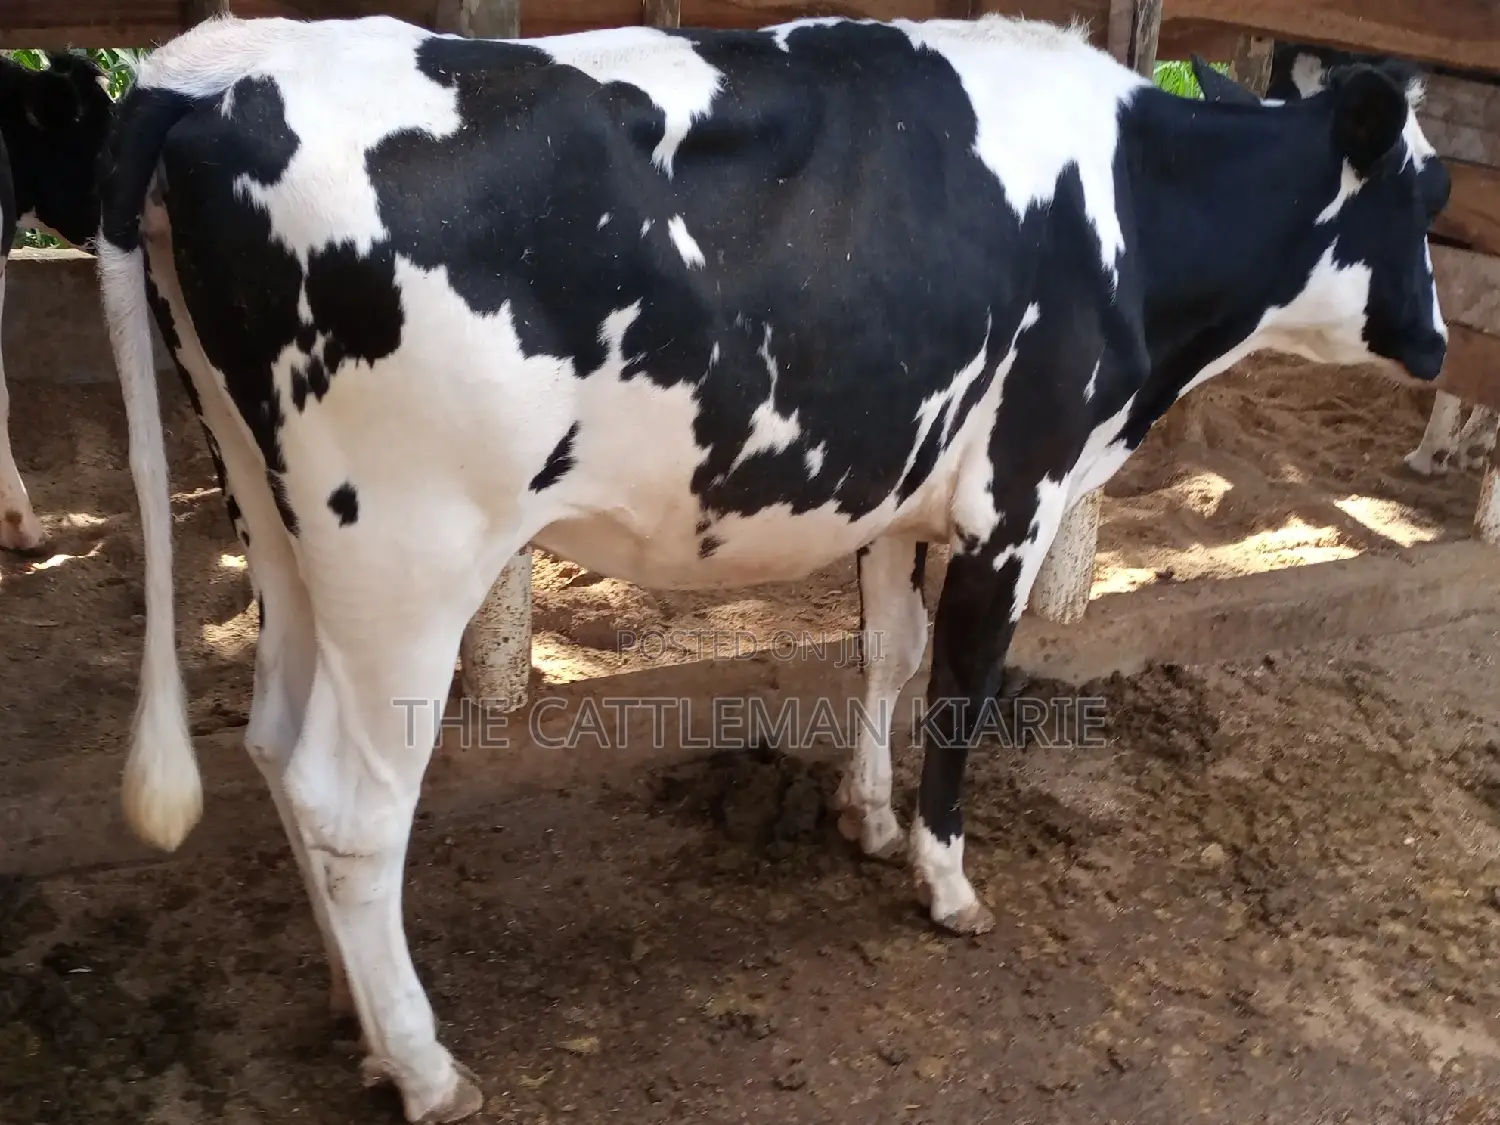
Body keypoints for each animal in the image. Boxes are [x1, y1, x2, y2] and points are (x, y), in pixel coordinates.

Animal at [93, 14, 1449, 1121]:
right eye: (1430, 195)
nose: (1441, 342)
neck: (1132, 217)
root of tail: (215, 75)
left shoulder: (905, 481)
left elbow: (888, 651)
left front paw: (865, 817)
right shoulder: (1014, 495)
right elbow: (962, 696)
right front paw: (946, 880)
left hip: (275, 514)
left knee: (275, 743)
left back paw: (357, 1017)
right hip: (404, 546)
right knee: (351, 803)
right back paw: (425, 1065)